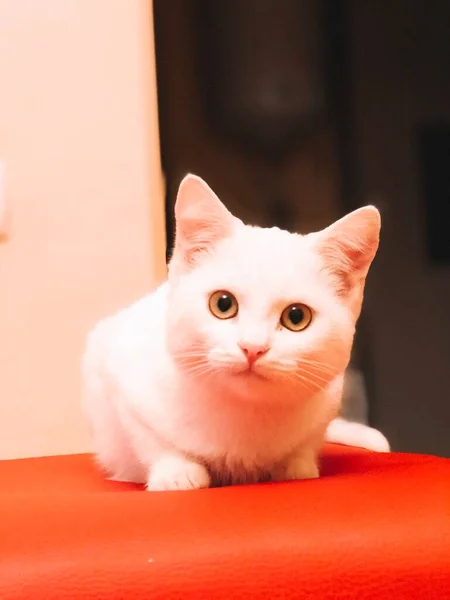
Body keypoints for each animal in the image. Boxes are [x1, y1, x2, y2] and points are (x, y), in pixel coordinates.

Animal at [81, 173, 390, 492]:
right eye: (223, 304)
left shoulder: (327, 399)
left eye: (296, 317)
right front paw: (176, 472)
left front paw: (295, 466)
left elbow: (306, 443)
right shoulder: (116, 368)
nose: (252, 347)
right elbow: (150, 438)